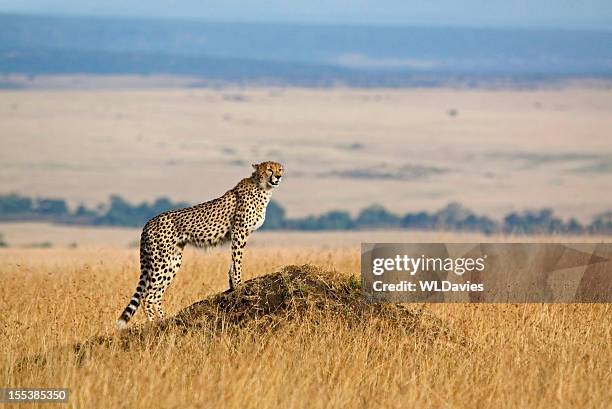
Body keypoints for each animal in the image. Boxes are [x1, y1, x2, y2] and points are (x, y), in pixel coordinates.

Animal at [116, 161, 284, 326]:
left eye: (280, 169)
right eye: (269, 169)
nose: (278, 176)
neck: (263, 188)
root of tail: (148, 222)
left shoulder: (238, 234)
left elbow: (233, 261)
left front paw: (232, 284)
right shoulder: (239, 232)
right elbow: (237, 260)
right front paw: (238, 285)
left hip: (173, 260)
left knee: (156, 294)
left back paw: (165, 320)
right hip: (162, 260)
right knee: (148, 295)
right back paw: (153, 324)